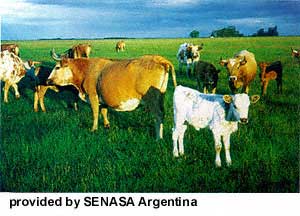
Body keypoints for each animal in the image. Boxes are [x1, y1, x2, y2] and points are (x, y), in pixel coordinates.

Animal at [47, 51, 177, 139]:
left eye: (57, 67)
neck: (86, 70)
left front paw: (94, 129)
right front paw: (106, 125)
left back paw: (158, 138)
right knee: (162, 114)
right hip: (160, 97)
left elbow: (95, 113)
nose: (47, 81)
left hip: (153, 99)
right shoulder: (102, 98)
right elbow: (104, 111)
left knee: (158, 115)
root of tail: (159, 59)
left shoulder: (93, 96)